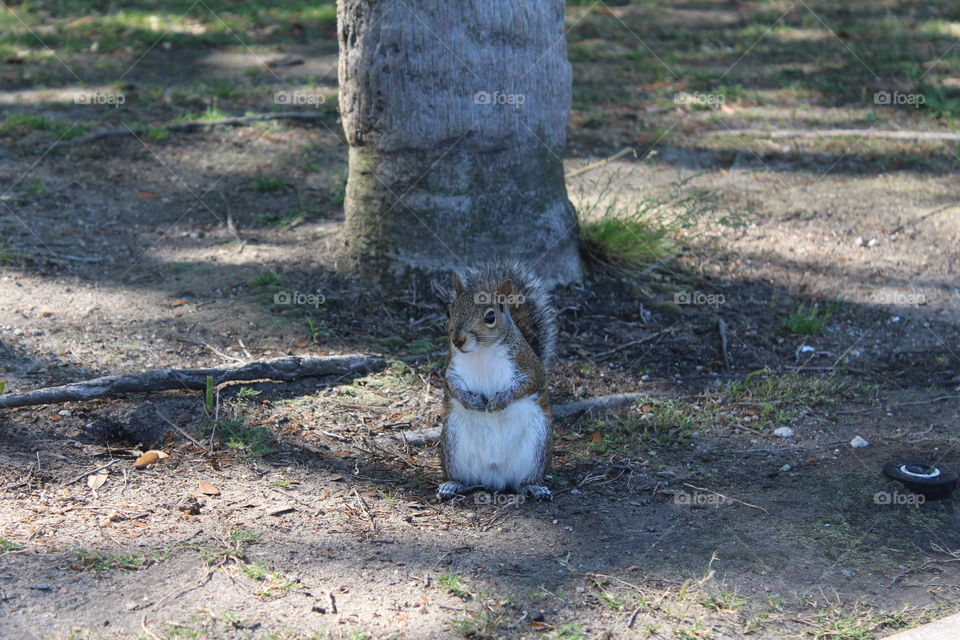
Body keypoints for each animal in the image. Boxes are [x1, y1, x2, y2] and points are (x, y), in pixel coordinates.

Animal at [437, 262, 557, 501]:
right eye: (449, 311)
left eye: (490, 317)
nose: (458, 340)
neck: (481, 351)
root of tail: (495, 479)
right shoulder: (452, 368)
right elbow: (452, 386)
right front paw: (472, 401)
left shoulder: (528, 367)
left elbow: (528, 384)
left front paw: (499, 402)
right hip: (453, 445)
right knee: (464, 479)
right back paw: (452, 485)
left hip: (537, 446)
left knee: (523, 481)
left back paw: (534, 487)